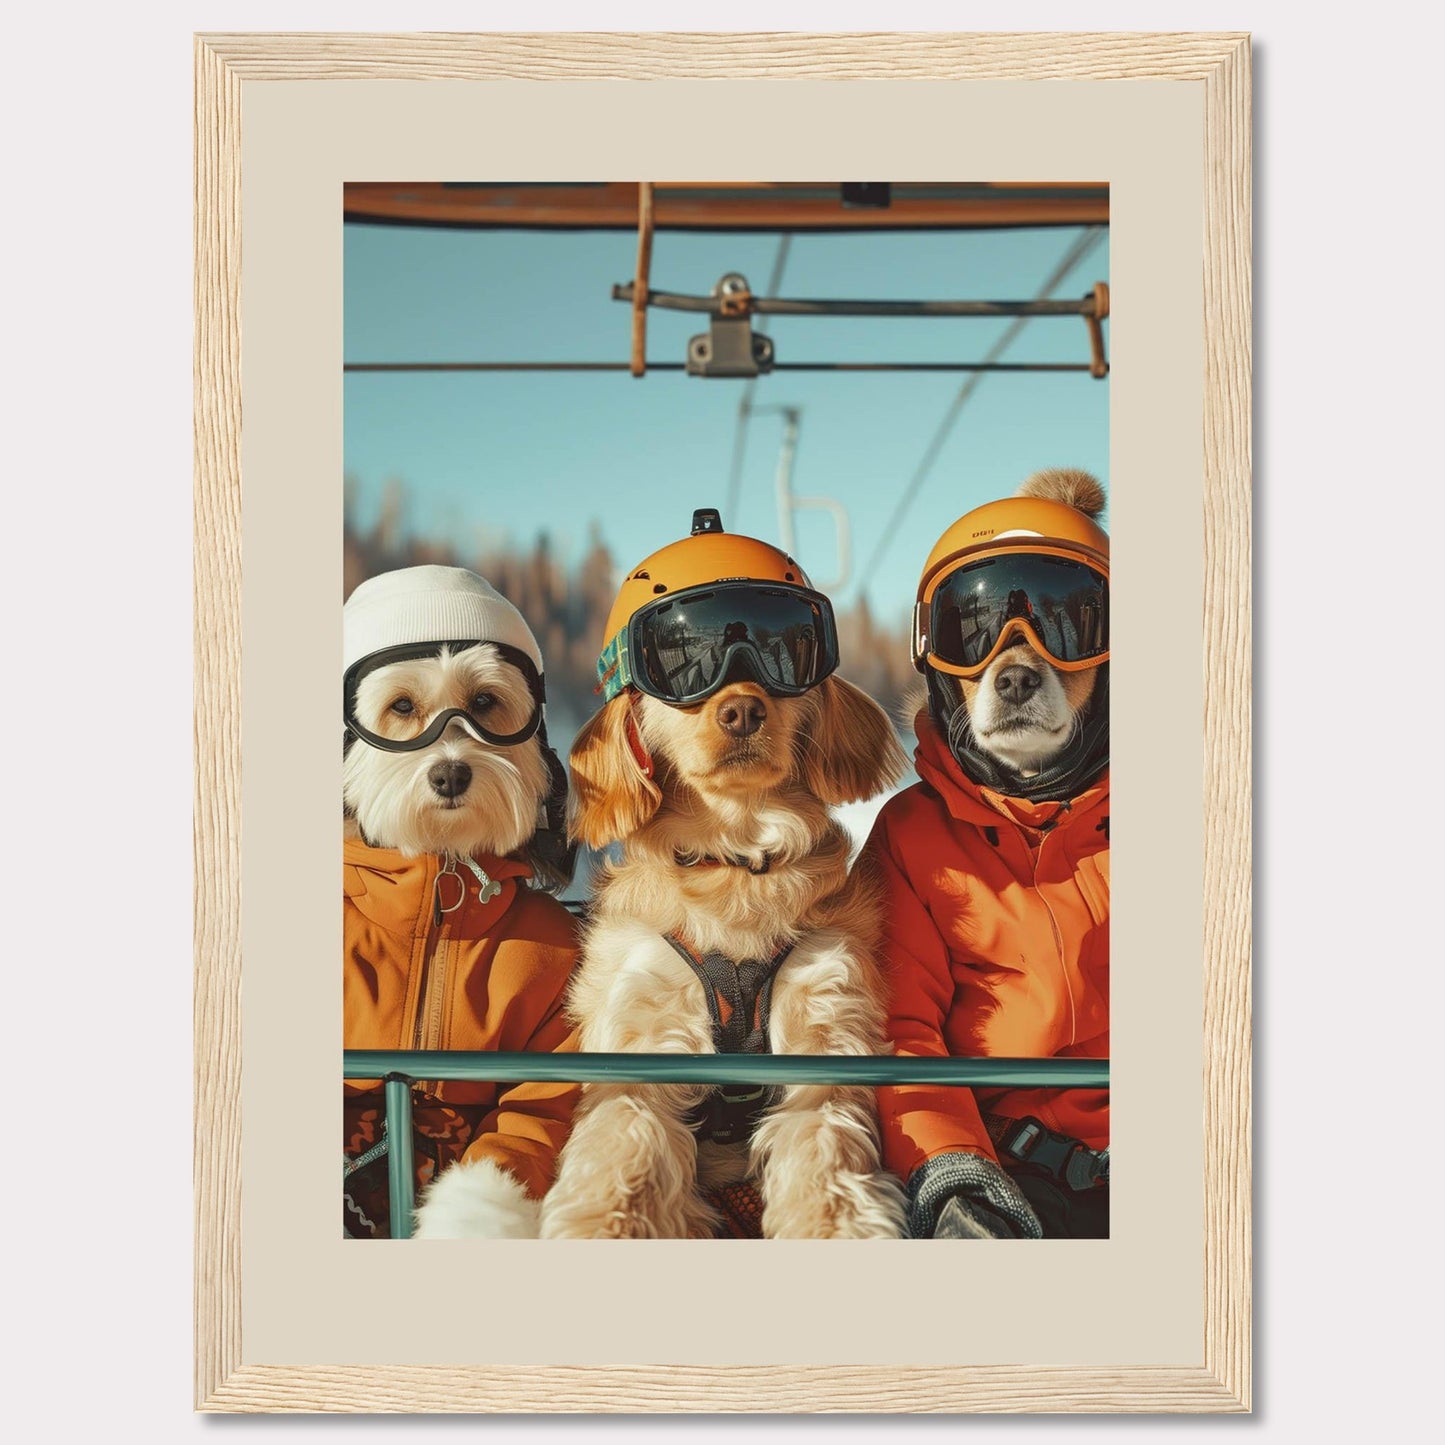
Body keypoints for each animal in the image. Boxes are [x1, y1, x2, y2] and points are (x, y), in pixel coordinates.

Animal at [537, 670, 907, 1236]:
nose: (743, 712)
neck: (735, 860)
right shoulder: (644, 1025)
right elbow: (623, 1144)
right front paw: (603, 1227)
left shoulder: (825, 1013)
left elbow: (825, 1150)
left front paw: (834, 1226)